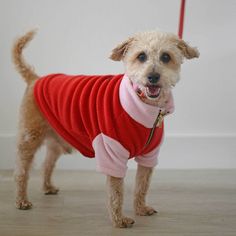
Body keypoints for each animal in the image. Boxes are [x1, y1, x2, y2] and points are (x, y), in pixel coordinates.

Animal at [12, 29, 198, 227]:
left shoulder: (149, 155)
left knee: (47, 164)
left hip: (56, 140)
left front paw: (141, 208)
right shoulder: (112, 151)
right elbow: (116, 192)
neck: (146, 107)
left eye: (166, 56)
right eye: (141, 56)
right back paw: (22, 200)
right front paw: (119, 220)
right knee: (21, 172)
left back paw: (47, 187)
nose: (153, 77)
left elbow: (142, 185)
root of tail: (35, 80)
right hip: (29, 138)